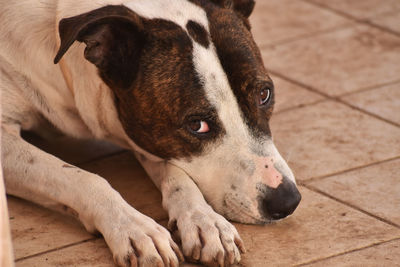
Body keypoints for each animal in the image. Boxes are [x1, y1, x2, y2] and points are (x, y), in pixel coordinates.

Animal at [0, 0, 300, 266]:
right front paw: (135, 228)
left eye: (264, 95)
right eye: (197, 125)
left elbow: (176, 174)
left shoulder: (147, 135)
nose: (287, 201)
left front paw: (205, 221)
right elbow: (81, 177)